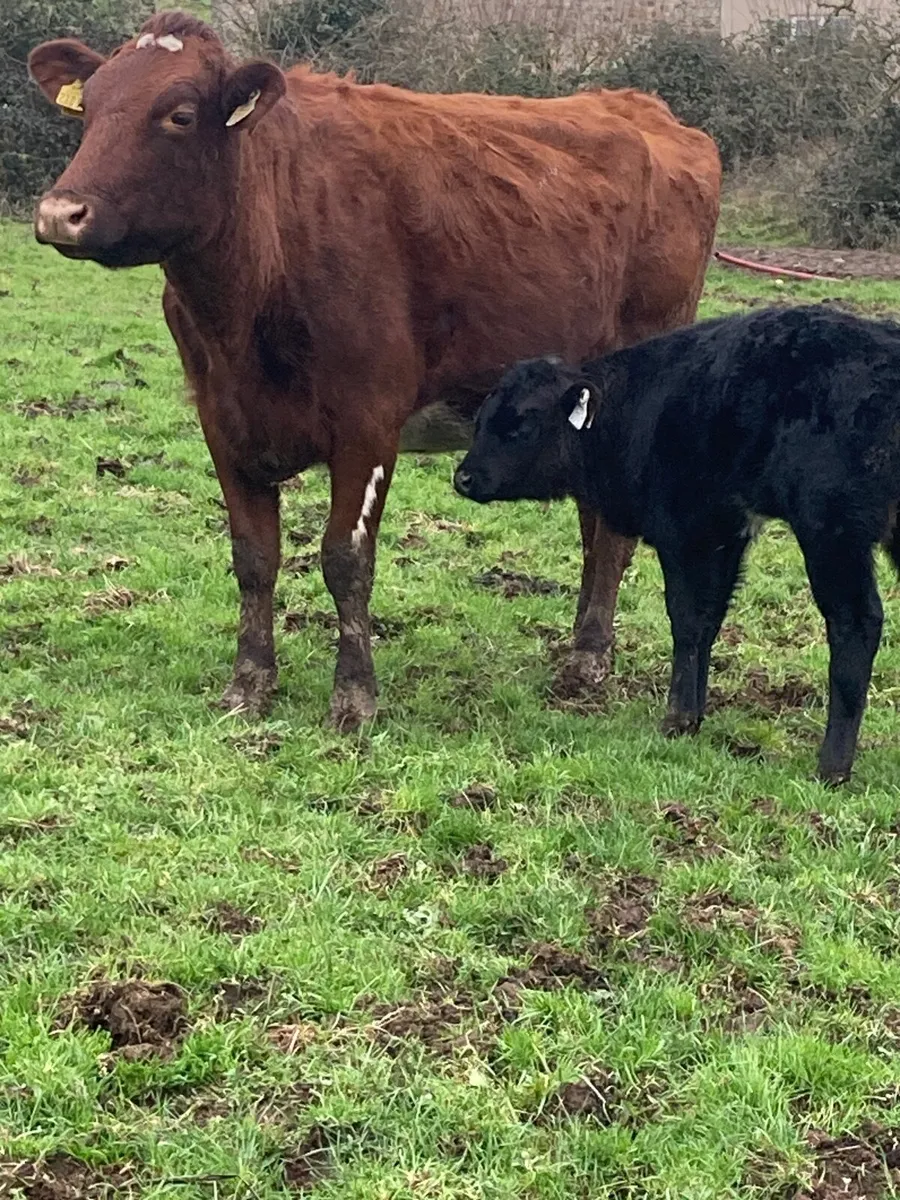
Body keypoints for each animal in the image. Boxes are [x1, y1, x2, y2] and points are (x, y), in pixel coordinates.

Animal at [28, 10, 720, 729]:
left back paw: (587, 660)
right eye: (90, 107)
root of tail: (645, 110)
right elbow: (253, 557)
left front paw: (354, 696)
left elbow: (346, 559)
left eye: (180, 115)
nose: (60, 213)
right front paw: (249, 683)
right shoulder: (221, 417)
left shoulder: (367, 423)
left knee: (610, 533)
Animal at [453, 305, 900, 784]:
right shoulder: (725, 532)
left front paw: (678, 719)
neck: (638, 410)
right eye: (481, 420)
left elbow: (687, 619)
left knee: (857, 624)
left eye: (521, 425)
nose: (463, 477)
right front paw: (693, 713)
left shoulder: (687, 531)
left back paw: (832, 766)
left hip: (831, 533)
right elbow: (709, 620)